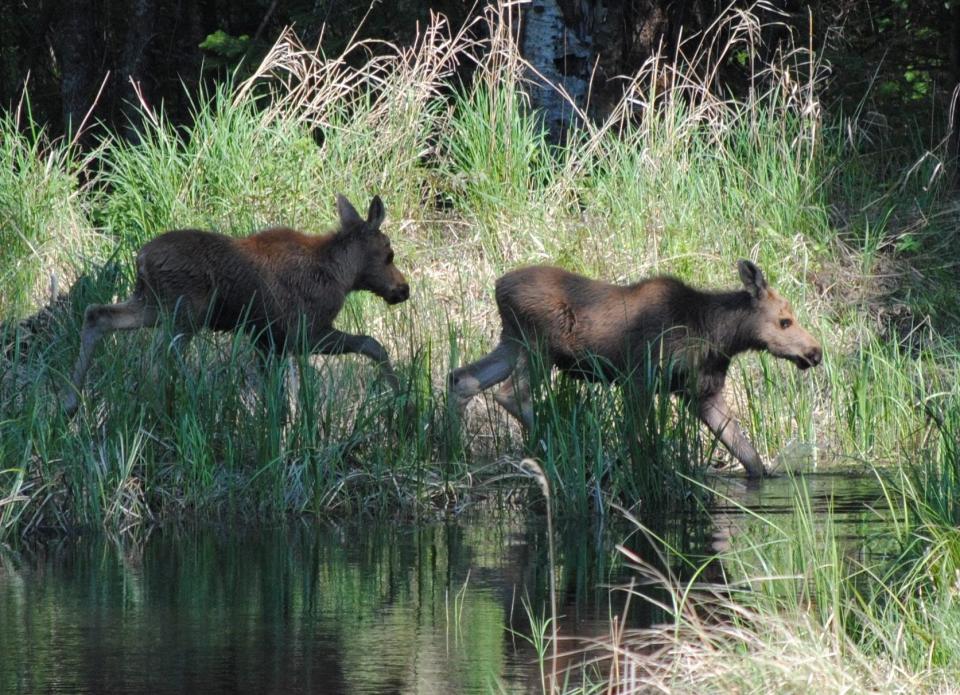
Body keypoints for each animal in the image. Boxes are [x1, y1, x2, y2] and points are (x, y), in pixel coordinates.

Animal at [63, 193, 408, 416]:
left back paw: (71, 403)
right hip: (184, 314)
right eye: (389, 254)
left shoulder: (269, 341)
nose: (403, 289)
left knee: (98, 315)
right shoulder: (305, 332)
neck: (341, 275)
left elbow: (277, 396)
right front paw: (402, 402)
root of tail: (141, 259)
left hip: (151, 304)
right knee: (156, 361)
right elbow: (372, 344)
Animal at [448, 260, 816, 478]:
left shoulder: (701, 392)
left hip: (512, 341)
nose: (815, 352)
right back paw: (557, 444)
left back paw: (451, 448)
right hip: (538, 345)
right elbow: (635, 436)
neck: (717, 335)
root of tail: (498, 286)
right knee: (511, 392)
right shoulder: (640, 377)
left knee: (462, 378)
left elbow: (749, 456)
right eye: (784, 321)